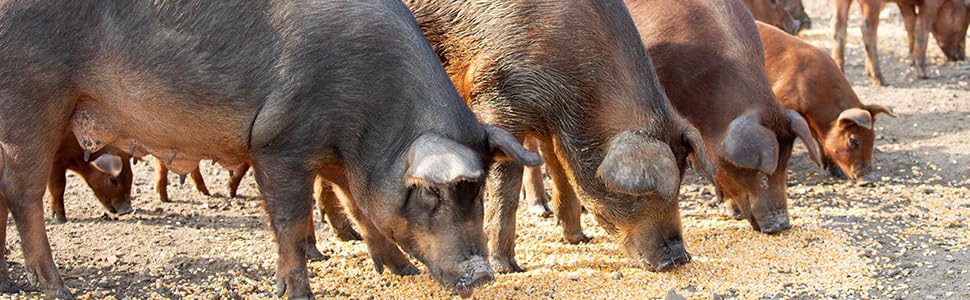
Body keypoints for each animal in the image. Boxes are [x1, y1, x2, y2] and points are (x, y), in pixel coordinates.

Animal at [0, 1, 536, 298]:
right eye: (434, 193)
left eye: (477, 191)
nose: (483, 275)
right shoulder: (279, 144)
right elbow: (292, 222)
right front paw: (297, 292)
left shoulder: (338, 157)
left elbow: (361, 208)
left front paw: (398, 271)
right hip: (32, 97)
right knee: (21, 193)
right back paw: (60, 290)